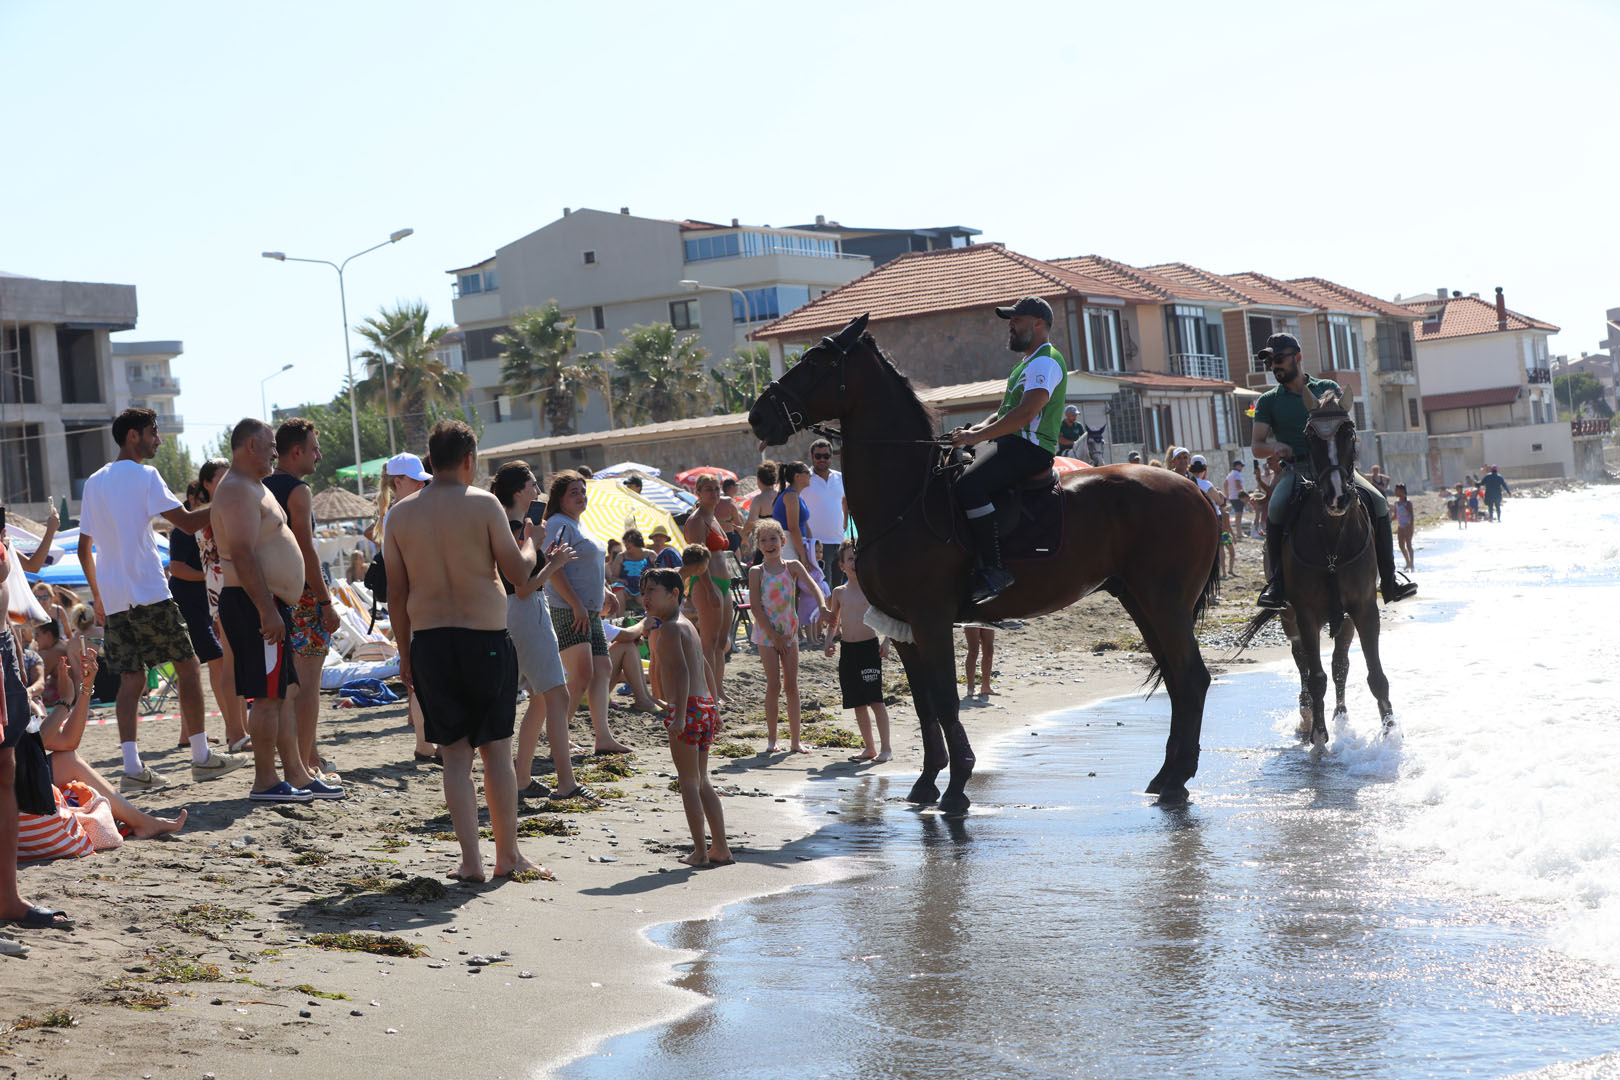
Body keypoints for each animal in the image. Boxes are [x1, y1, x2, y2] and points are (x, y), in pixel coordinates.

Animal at [745, 312, 1218, 809]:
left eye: (816, 361)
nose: (758, 416)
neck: (909, 496)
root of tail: (1193, 491)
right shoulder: (902, 625)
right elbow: (924, 702)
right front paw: (927, 781)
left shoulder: (930, 619)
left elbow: (946, 699)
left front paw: (956, 788)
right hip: (1142, 602)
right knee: (1177, 680)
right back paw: (1165, 776)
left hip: (1164, 604)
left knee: (1190, 678)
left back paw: (1177, 780)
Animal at [1237, 395, 1393, 751]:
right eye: (1309, 436)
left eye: (1349, 432)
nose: (1337, 497)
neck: (1332, 539)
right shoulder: (1305, 613)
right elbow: (1315, 675)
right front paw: (1319, 737)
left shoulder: (1363, 608)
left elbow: (1373, 674)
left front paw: (1391, 732)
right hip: (1289, 616)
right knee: (1304, 664)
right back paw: (1308, 714)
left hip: (1343, 620)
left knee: (1339, 664)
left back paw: (1340, 715)